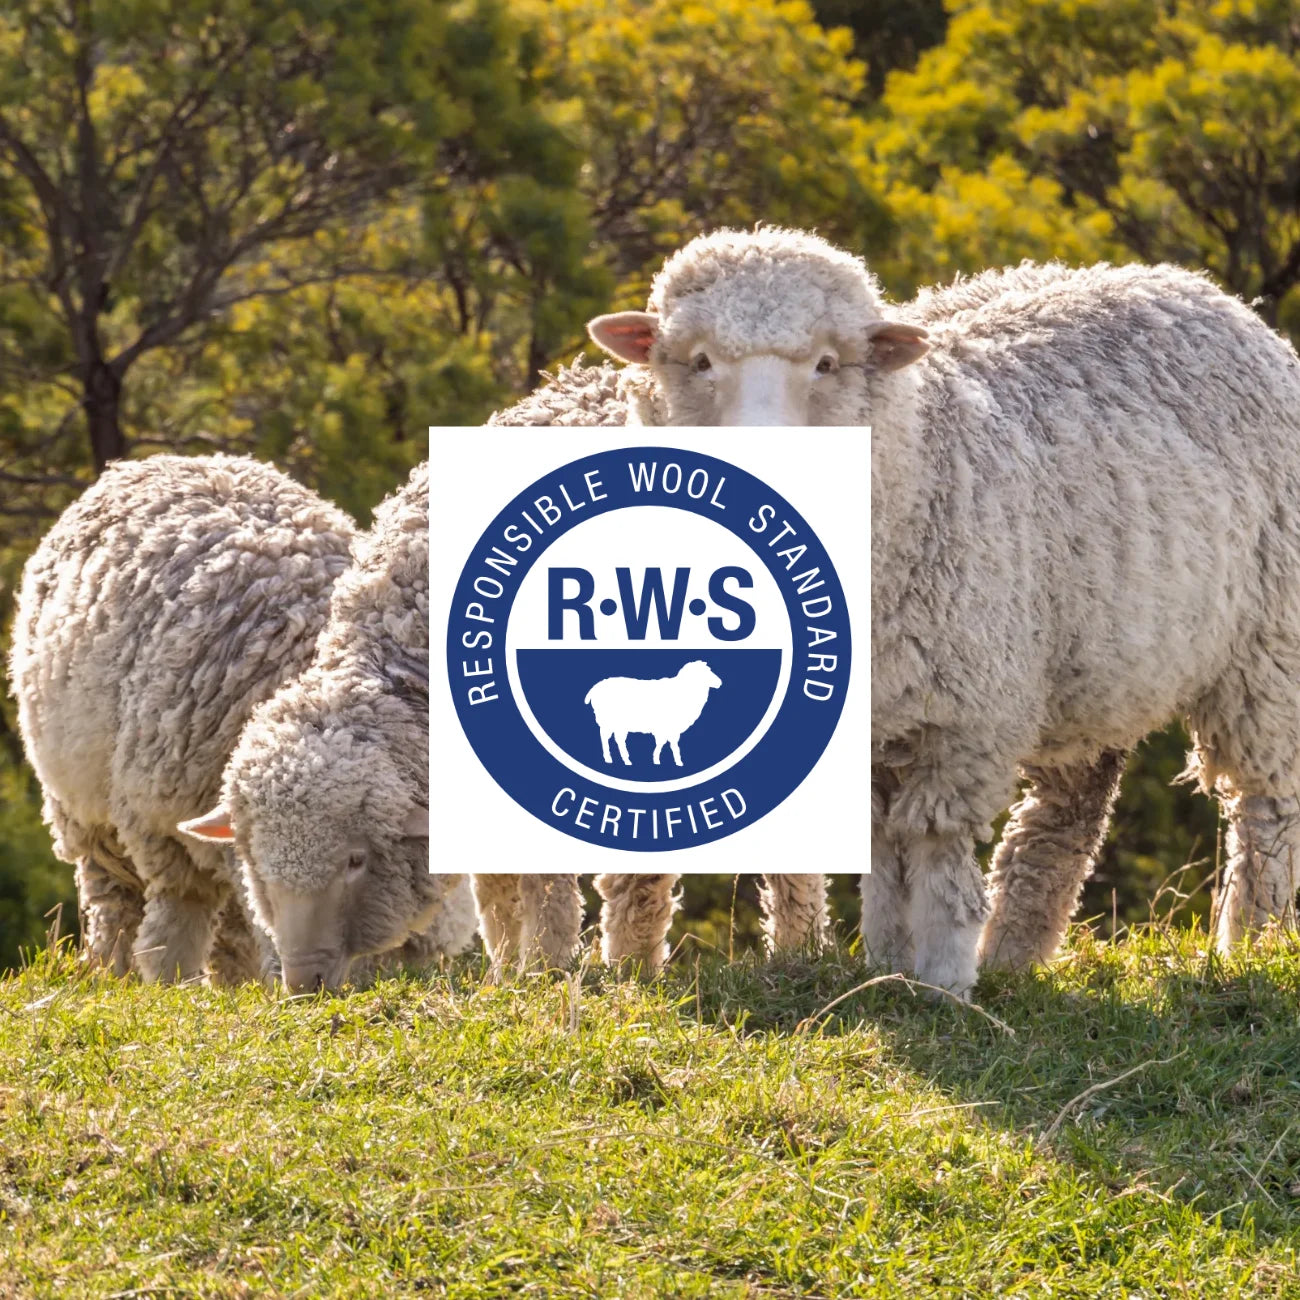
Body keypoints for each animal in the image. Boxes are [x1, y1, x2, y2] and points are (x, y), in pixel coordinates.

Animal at [10, 455, 355, 982]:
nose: (312, 982)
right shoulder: (156, 818)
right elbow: (181, 908)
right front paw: (169, 978)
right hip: (83, 806)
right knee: (115, 897)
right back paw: (113, 969)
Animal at [585, 660, 722, 767]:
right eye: (705, 672)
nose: (720, 682)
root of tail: (594, 688)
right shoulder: (667, 727)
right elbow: (668, 744)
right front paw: (663, 760)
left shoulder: (669, 728)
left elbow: (667, 744)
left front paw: (664, 760)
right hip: (608, 721)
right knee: (605, 737)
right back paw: (610, 758)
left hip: (619, 724)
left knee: (618, 739)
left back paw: (625, 760)